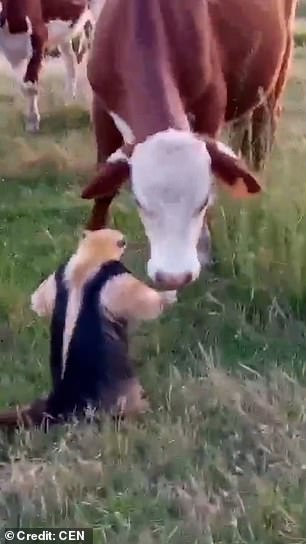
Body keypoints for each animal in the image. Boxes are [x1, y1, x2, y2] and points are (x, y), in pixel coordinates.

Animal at [0, 0, 101, 132]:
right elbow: (24, 87)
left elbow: (30, 85)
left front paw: (33, 122)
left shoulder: (38, 37)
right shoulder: (10, 50)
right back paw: (69, 99)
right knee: (71, 59)